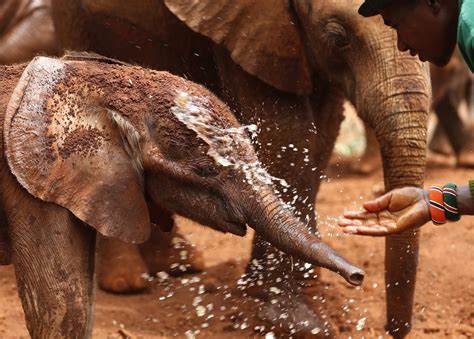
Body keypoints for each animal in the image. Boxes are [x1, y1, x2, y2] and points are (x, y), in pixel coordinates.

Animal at [51, 0, 434, 338]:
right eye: (338, 36)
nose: (393, 330)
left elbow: (321, 136)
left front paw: (294, 287)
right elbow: (286, 135)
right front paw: (293, 319)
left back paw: (179, 266)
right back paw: (126, 282)